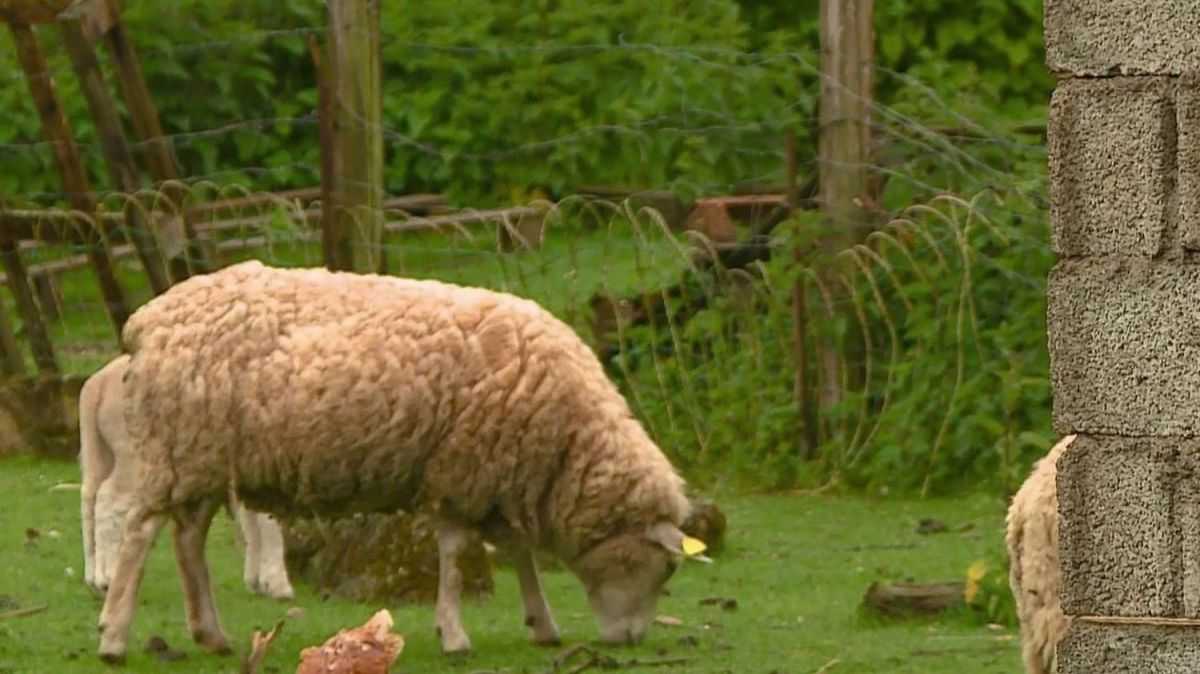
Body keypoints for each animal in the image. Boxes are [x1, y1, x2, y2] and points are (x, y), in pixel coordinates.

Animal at [80, 354, 294, 601]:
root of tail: (99, 382)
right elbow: (267, 521)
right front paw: (277, 583)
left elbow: (252, 520)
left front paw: (257, 580)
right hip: (135, 455)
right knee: (109, 499)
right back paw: (108, 577)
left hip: (100, 449)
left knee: (89, 495)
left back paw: (93, 578)